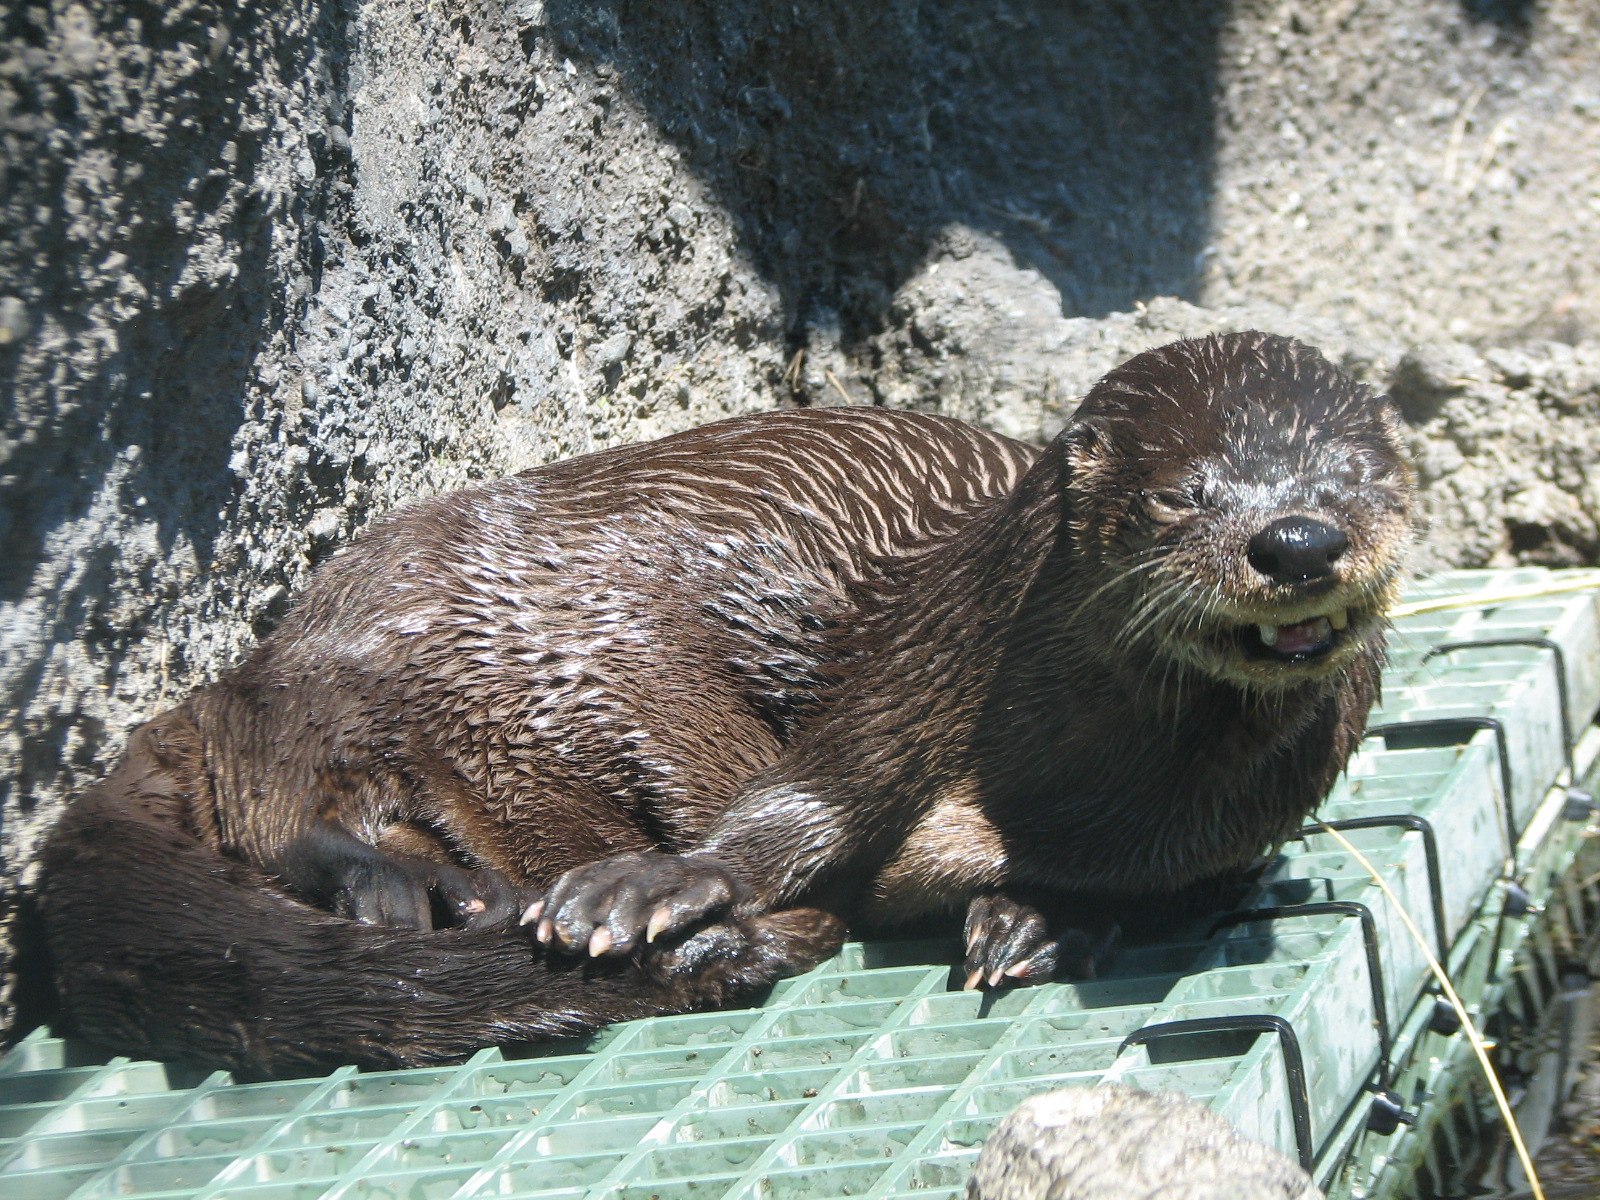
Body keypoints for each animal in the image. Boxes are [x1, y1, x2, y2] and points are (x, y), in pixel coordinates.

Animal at [36, 332, 1413, 1079]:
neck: (1073, 789)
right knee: (285, 793)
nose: (1298, 538)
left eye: (1364, 479)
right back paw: (408, 889)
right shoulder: (917, 669)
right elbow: (802, 802)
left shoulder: (1238, 825)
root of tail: (252, 655)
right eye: (1183, 494)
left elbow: (1177, 891)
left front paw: (1034, 923)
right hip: (406, 645)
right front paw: (657, 889)